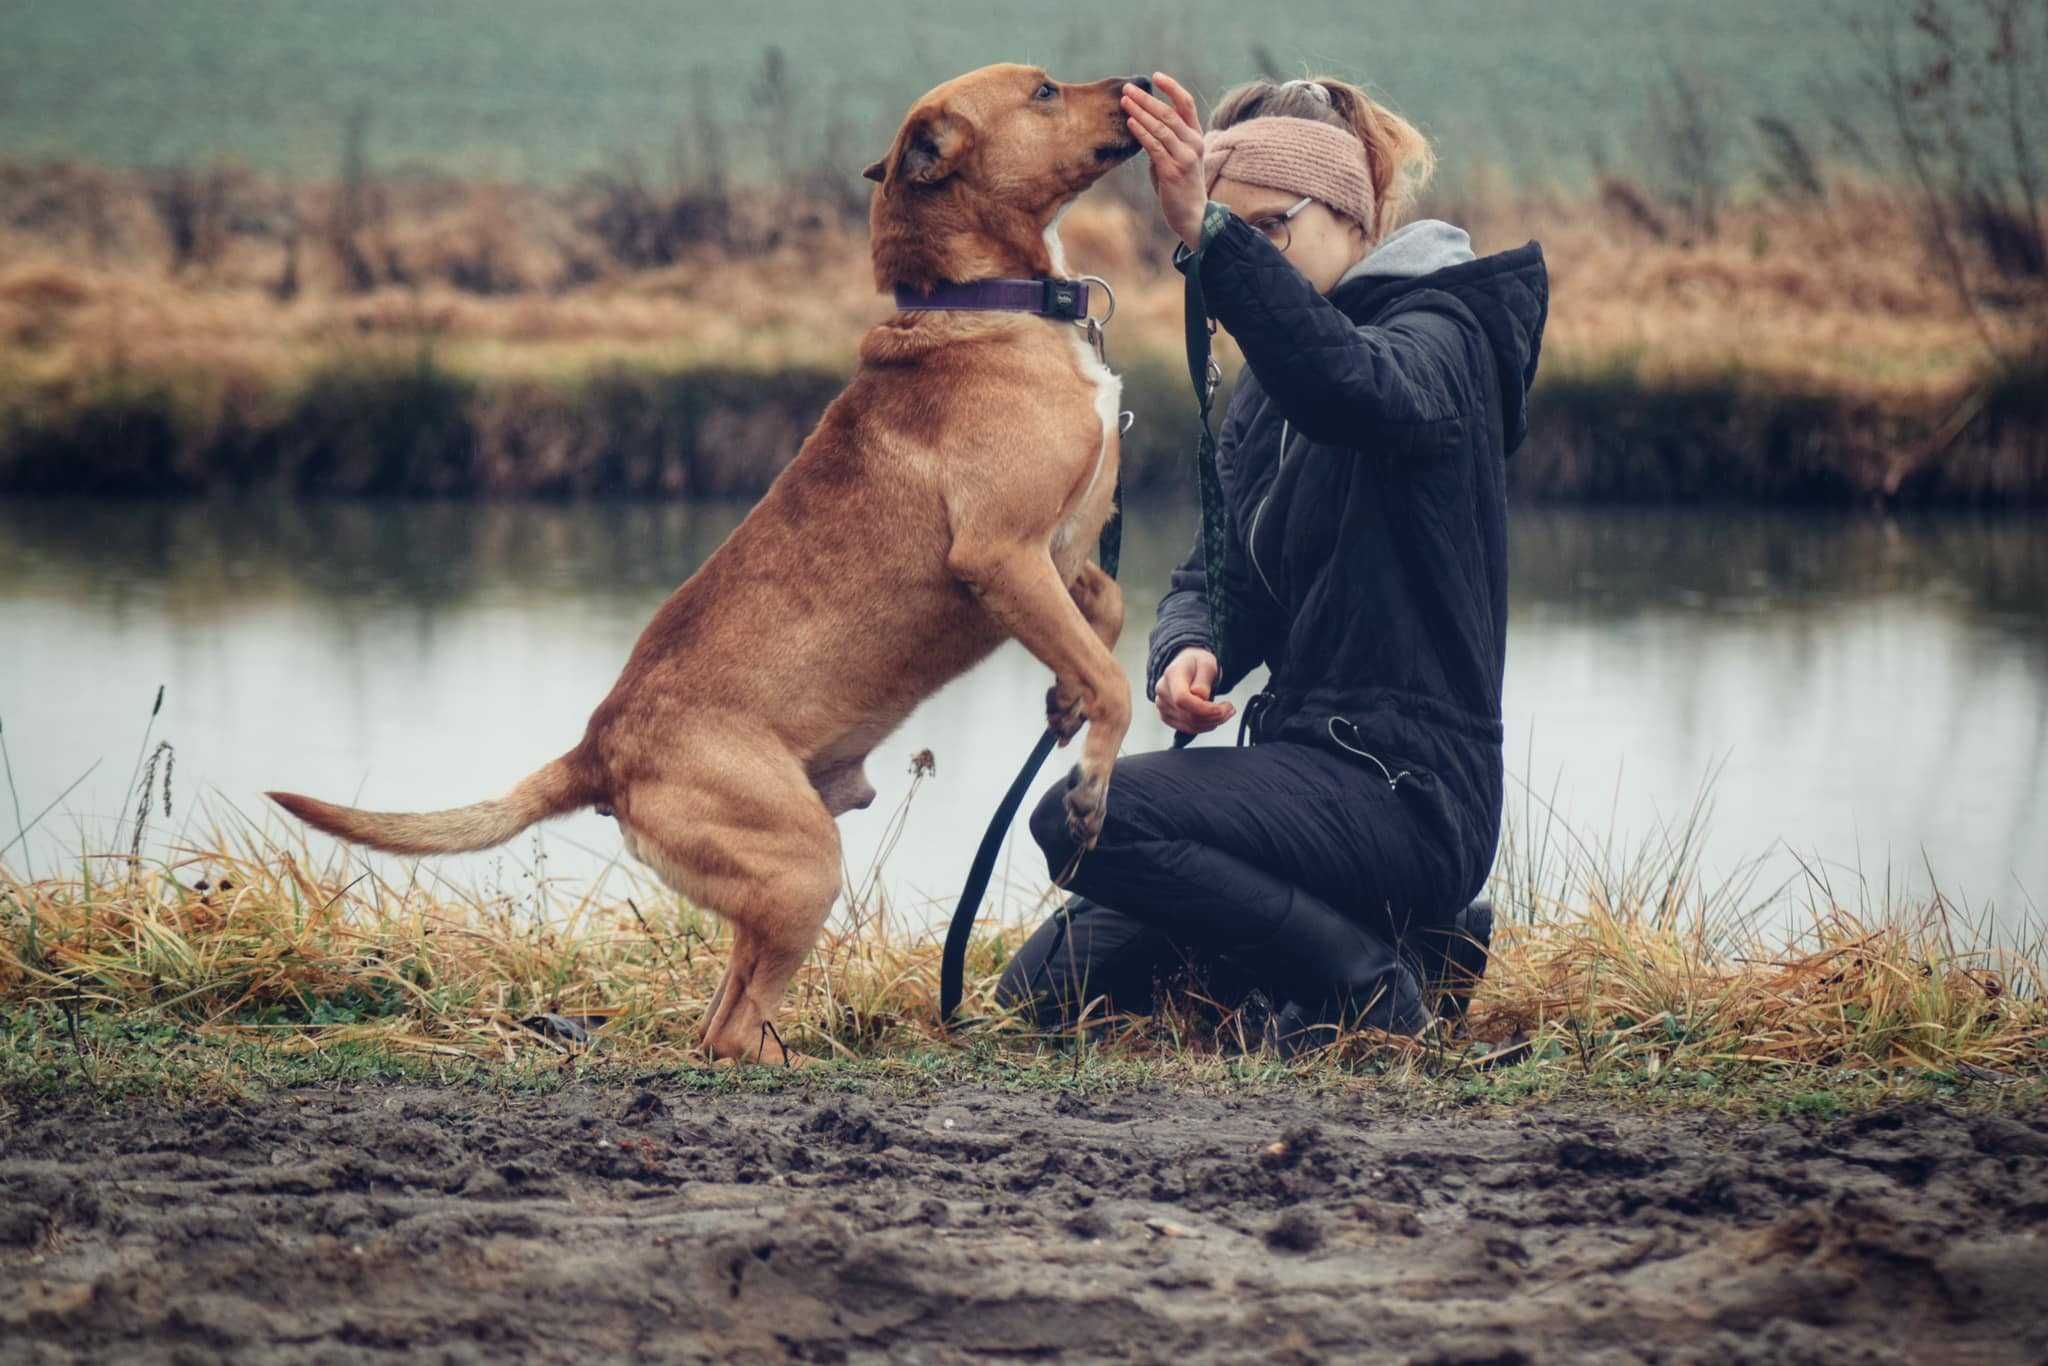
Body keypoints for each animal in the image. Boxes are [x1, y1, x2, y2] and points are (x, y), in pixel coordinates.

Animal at [264, 63, 1146, 1064]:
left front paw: (1064, 706)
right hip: (801, 864)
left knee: (723, 1012)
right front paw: (1088, 791)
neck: (984, 302)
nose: (1139, 83)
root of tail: (597, 750)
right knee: (730, 1031)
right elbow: (1116, 679)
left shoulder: (1058, 556)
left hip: (769, 881)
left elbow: (1105, 619)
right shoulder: (1002, 557)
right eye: (1043, 92)